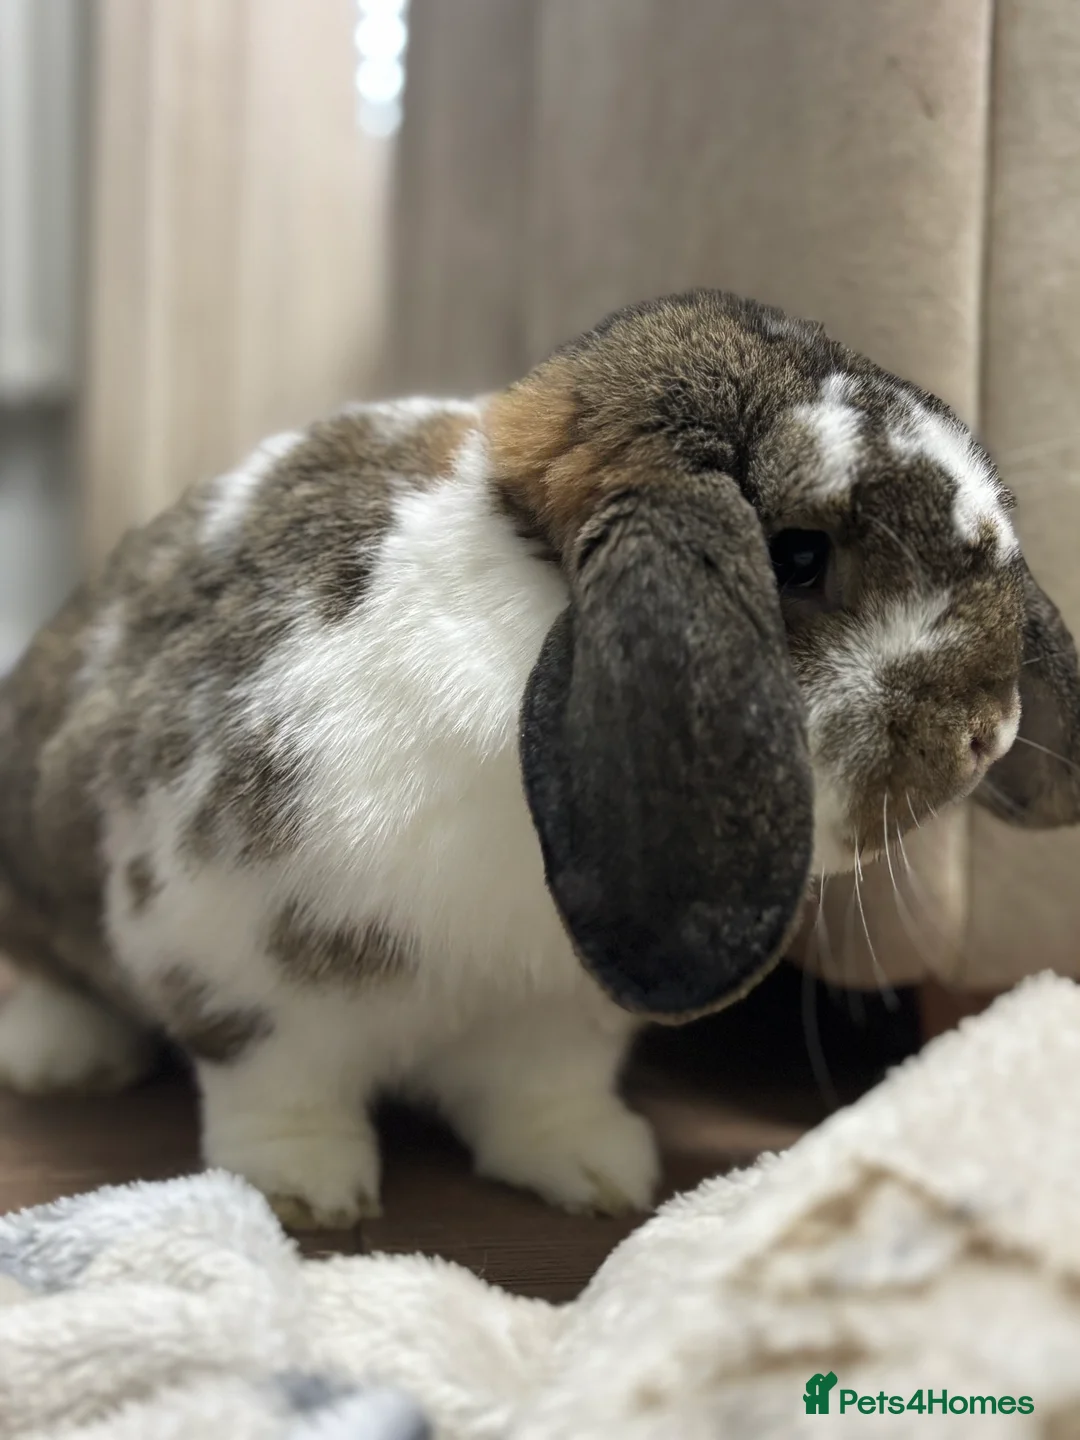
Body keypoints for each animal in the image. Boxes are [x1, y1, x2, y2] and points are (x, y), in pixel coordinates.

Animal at [2, 289, 1079, 1230]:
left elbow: (544, 1095)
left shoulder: (556, 1011)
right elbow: (278, 1085)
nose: (988, 732)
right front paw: (303, 1191)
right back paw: (60, 1056)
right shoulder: (231, 953)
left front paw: (600, 1173)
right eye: (799, 558)